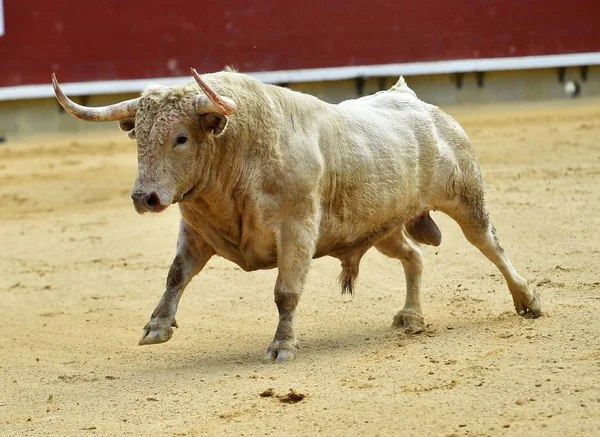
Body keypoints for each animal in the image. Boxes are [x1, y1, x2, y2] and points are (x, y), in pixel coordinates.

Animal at [50, 68, 540, 362]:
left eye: (181, 138)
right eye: (138, 136)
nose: (144, 197)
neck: (239, 155)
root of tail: (418, 102)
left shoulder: (298, 228)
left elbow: (286, 292)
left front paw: (282, 346)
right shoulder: (196, 230)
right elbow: (175, 275)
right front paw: (156, 327)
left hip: (465, 197)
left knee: (490, 244)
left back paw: (527, 300)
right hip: (378, 225)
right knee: (413, 255)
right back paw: (412, 318)